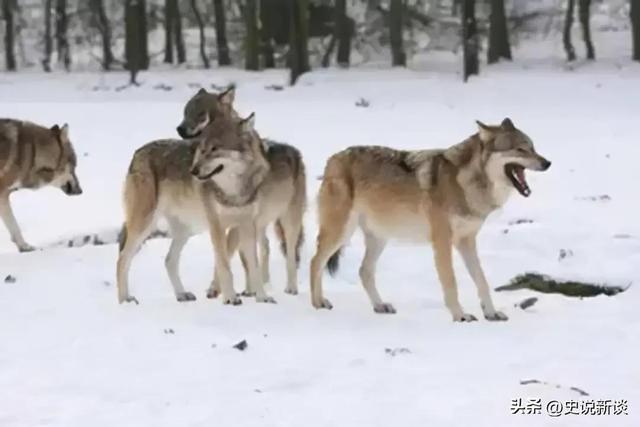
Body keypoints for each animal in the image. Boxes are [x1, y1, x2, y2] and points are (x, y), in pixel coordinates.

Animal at [0, 118, 82, 252]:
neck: (31, 154)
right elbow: (14, 225)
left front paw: (23, 247)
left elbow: (13, 226)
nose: (80, 191)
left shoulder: (4, 194)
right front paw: (25, 247)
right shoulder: (2, 193)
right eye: (74, 167)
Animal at [117, 112, 308, 306]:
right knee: (122, 259)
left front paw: (262, 298)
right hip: (145, 224)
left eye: (215, 149)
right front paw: (230, 298)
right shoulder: (217, 225)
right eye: (202, 150)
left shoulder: (246, 225)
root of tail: (138, 152)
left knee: (169, 260)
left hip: (189, 230)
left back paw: (182, 294)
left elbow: (253, 265)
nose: (193, 171)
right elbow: (224, 265)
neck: (233, 191)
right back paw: (125, 300)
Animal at [308, 118, 552, 322]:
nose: (547, 163)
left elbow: (482, 280)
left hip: (379, 238)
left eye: (533, 147)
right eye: (520, 149)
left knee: (364, 271)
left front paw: (491, 313)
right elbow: (451, 282)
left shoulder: (467, 241)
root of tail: (333, 158)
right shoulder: (443, 241)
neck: (466, 183)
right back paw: (318, 303)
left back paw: (380, 306)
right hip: (341, 232)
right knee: (315, 261)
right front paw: (460, 316)